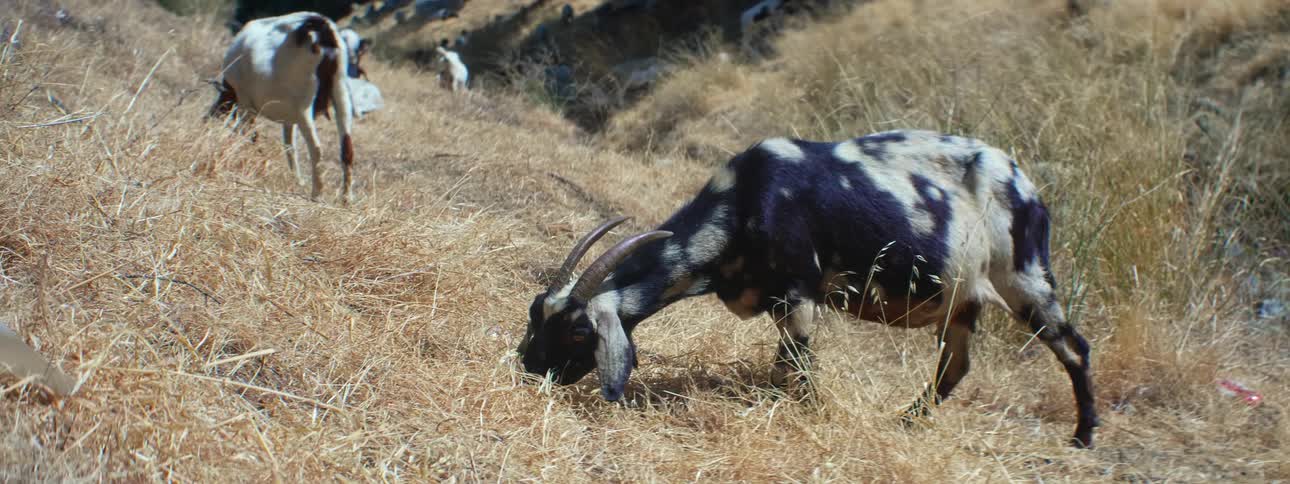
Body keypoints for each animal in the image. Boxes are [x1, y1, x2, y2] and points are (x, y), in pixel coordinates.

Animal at [207, 12, 356, 203]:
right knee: (347, 149)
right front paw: (296, 179)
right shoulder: (289, 119)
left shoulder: (246, 104)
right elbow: (289, 146)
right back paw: (346, 199)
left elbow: (250, 135)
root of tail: (320, 28)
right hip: (341, 93)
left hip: (303, 106)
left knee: (316, 148)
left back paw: (317, 193)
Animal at [518, 130, 1100, 448]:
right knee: (955, 366)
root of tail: (1028, 187)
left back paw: (1083, 437)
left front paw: (810, 415)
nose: (528, 367)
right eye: (534, 313)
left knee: (1074, 347)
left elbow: (796, 368)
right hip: (964, 299)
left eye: (578, 332)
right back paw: (905, 421)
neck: (744, 202)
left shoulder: (798, 294)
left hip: (1024, 276)